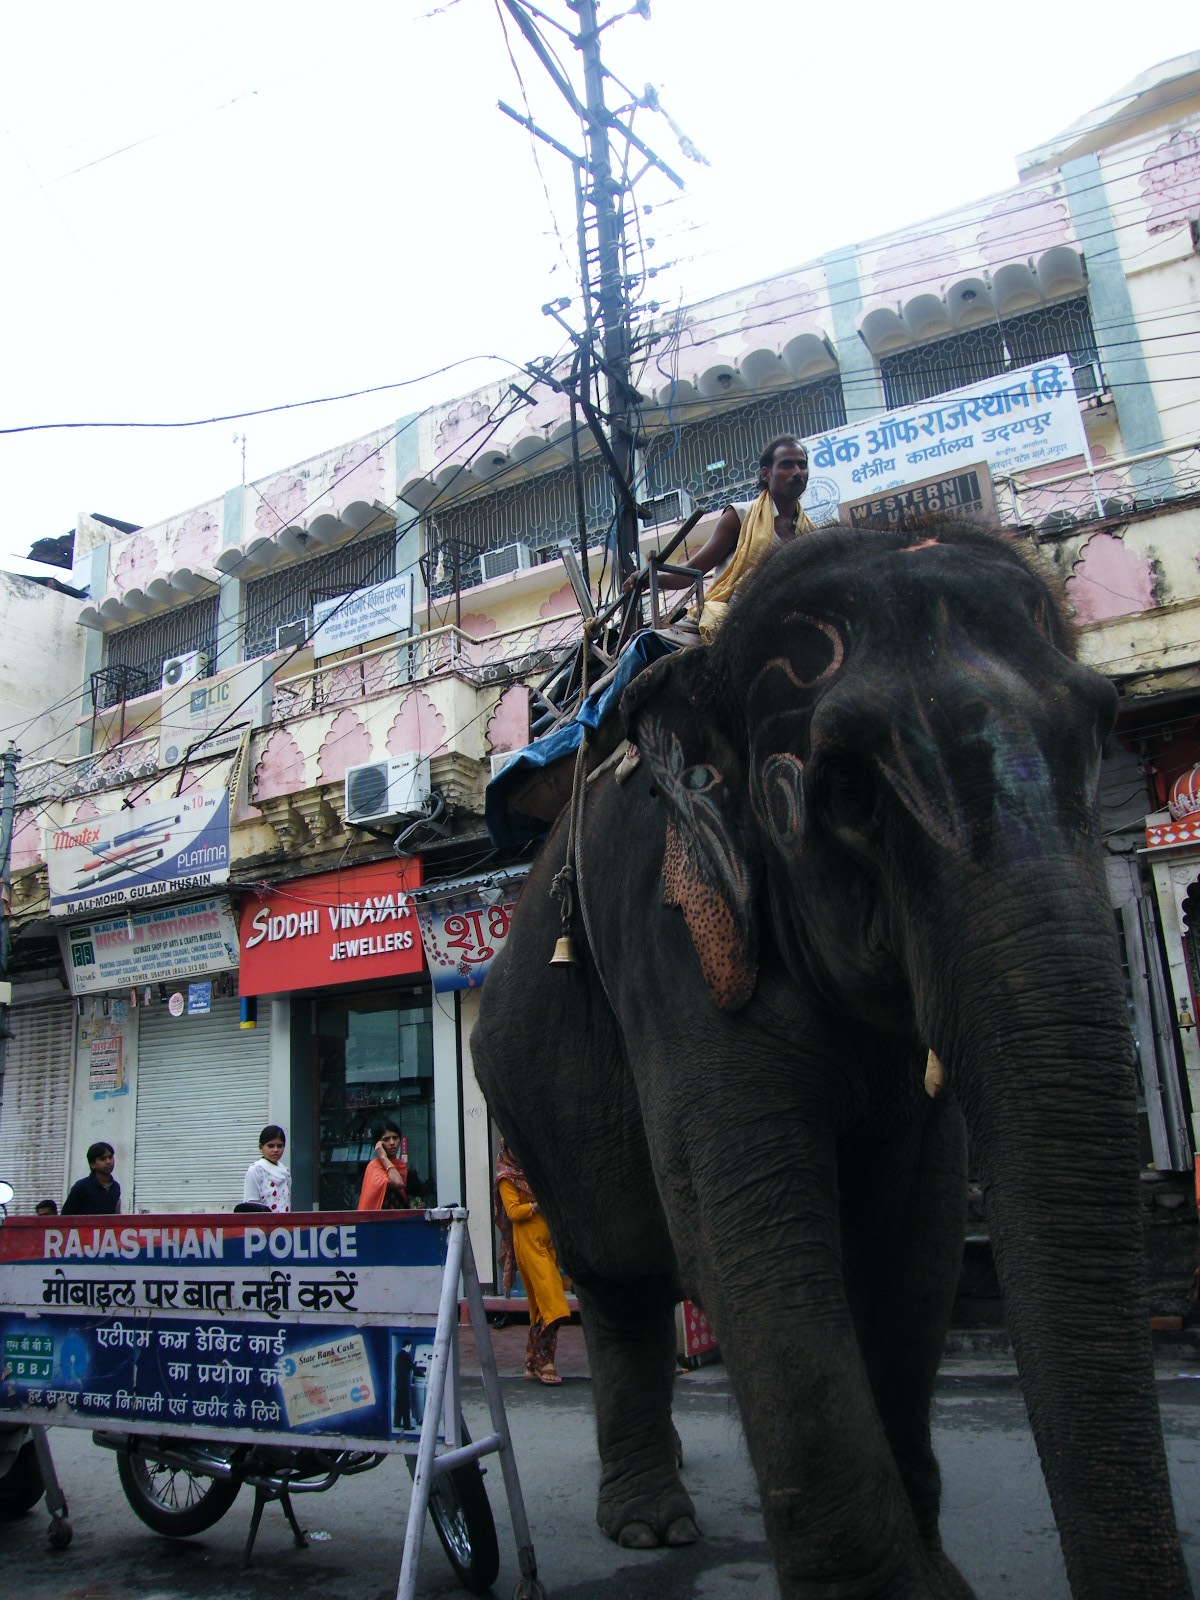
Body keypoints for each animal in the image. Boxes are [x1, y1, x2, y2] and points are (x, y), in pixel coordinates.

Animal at [473, 524, 1196, 1600]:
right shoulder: (674, 931)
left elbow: (914, 1228)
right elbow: (744, 1216)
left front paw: (938, 1576)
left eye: (1098, 731)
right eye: (847, 784)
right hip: (531, 1084)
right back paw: (650, 1523)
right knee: (618, 1267)